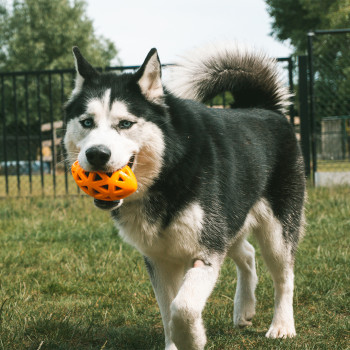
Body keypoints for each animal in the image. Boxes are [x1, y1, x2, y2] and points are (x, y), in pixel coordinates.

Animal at [64, 43, 304, 350]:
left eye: (125, 124)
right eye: (86, 122)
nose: (96, 154)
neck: (168, 172)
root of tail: (264, 108)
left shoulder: (207, 251)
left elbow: (183, 307)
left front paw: (194, 338)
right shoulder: (160, 259)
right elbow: (169, 311)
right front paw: (176, 342)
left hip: (276, 232)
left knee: (284, 277)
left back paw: (282, 325)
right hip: (230, 221)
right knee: (247, 254)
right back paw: (245, 309)